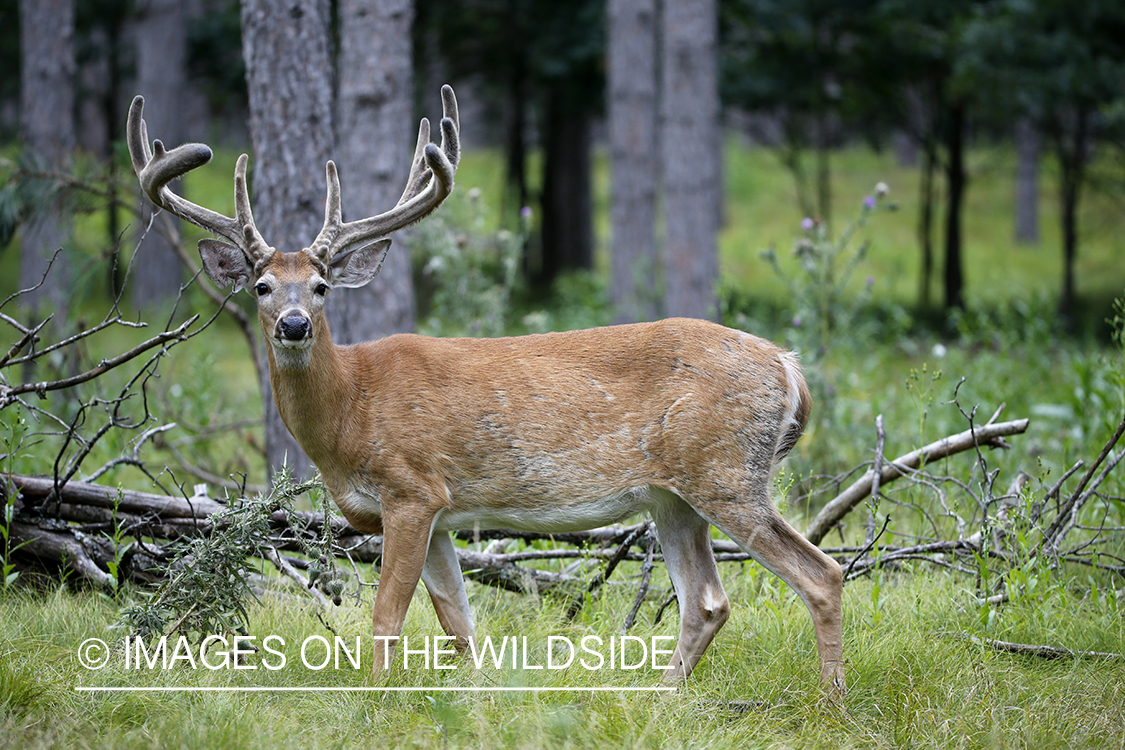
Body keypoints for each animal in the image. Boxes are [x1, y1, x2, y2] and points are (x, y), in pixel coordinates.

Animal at [127, 86, 846, 697]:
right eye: (261, 286)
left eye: (322, 286)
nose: (295, 324)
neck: (351, 408)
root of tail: (788, 365)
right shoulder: (441, 512)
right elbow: (458, 620)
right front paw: (475, 699)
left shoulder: (412, 488)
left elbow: (388, 615)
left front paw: (375, 702)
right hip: (673, 495)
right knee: (707, 600)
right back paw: (659, 702)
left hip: (726, 472)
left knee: (821, 573)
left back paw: (830, 703)